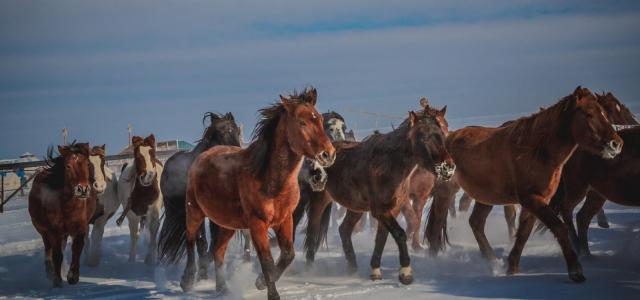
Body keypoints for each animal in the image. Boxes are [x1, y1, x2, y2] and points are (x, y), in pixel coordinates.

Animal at [29, 144, 96, 288]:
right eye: (68, 166)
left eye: (87, 164)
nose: (83, 189)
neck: (67, 206)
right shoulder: (54, 231)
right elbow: (57, 255)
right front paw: (57, 280)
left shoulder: (80, 227)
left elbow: (77, 248)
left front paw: (73, 276)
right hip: (44, 231)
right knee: (48, 248)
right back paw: (49, 271)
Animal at [115, 135, 164, 264]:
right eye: (137, 155)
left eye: (153, 154)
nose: (148, 176)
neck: (144, 192)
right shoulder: (132, 214)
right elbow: (134, 235)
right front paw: (131, 261)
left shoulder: (154, 213)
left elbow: (153, 231)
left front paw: (150, 260)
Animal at [448, 86, 624, 282]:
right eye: (588, 114)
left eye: (605, 113)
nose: (616, 144)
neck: (536, 150)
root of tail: (450, 136)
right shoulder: (531, 199)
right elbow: (559, 228)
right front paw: (576, 271)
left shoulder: (537, 201)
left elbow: (523, 234)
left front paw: (512, 268)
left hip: (486, 198)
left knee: (476, 223)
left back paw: (492, 261)